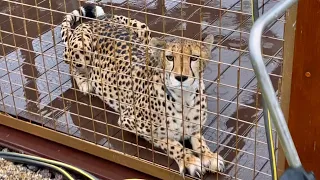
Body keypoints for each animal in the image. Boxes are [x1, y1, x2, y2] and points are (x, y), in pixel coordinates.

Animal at [61, 3, 224, 178]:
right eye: (170, 57)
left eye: (194, 58)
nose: (181, 77)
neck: (183, 99)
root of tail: (100, 20)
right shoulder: (129, 121)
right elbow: (171, 142)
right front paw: (190, 160)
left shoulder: (194, 127)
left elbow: (199, 139)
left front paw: (209, 156)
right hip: (81, 49)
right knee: (71, 66)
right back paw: (85, 82)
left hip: (145, 33)